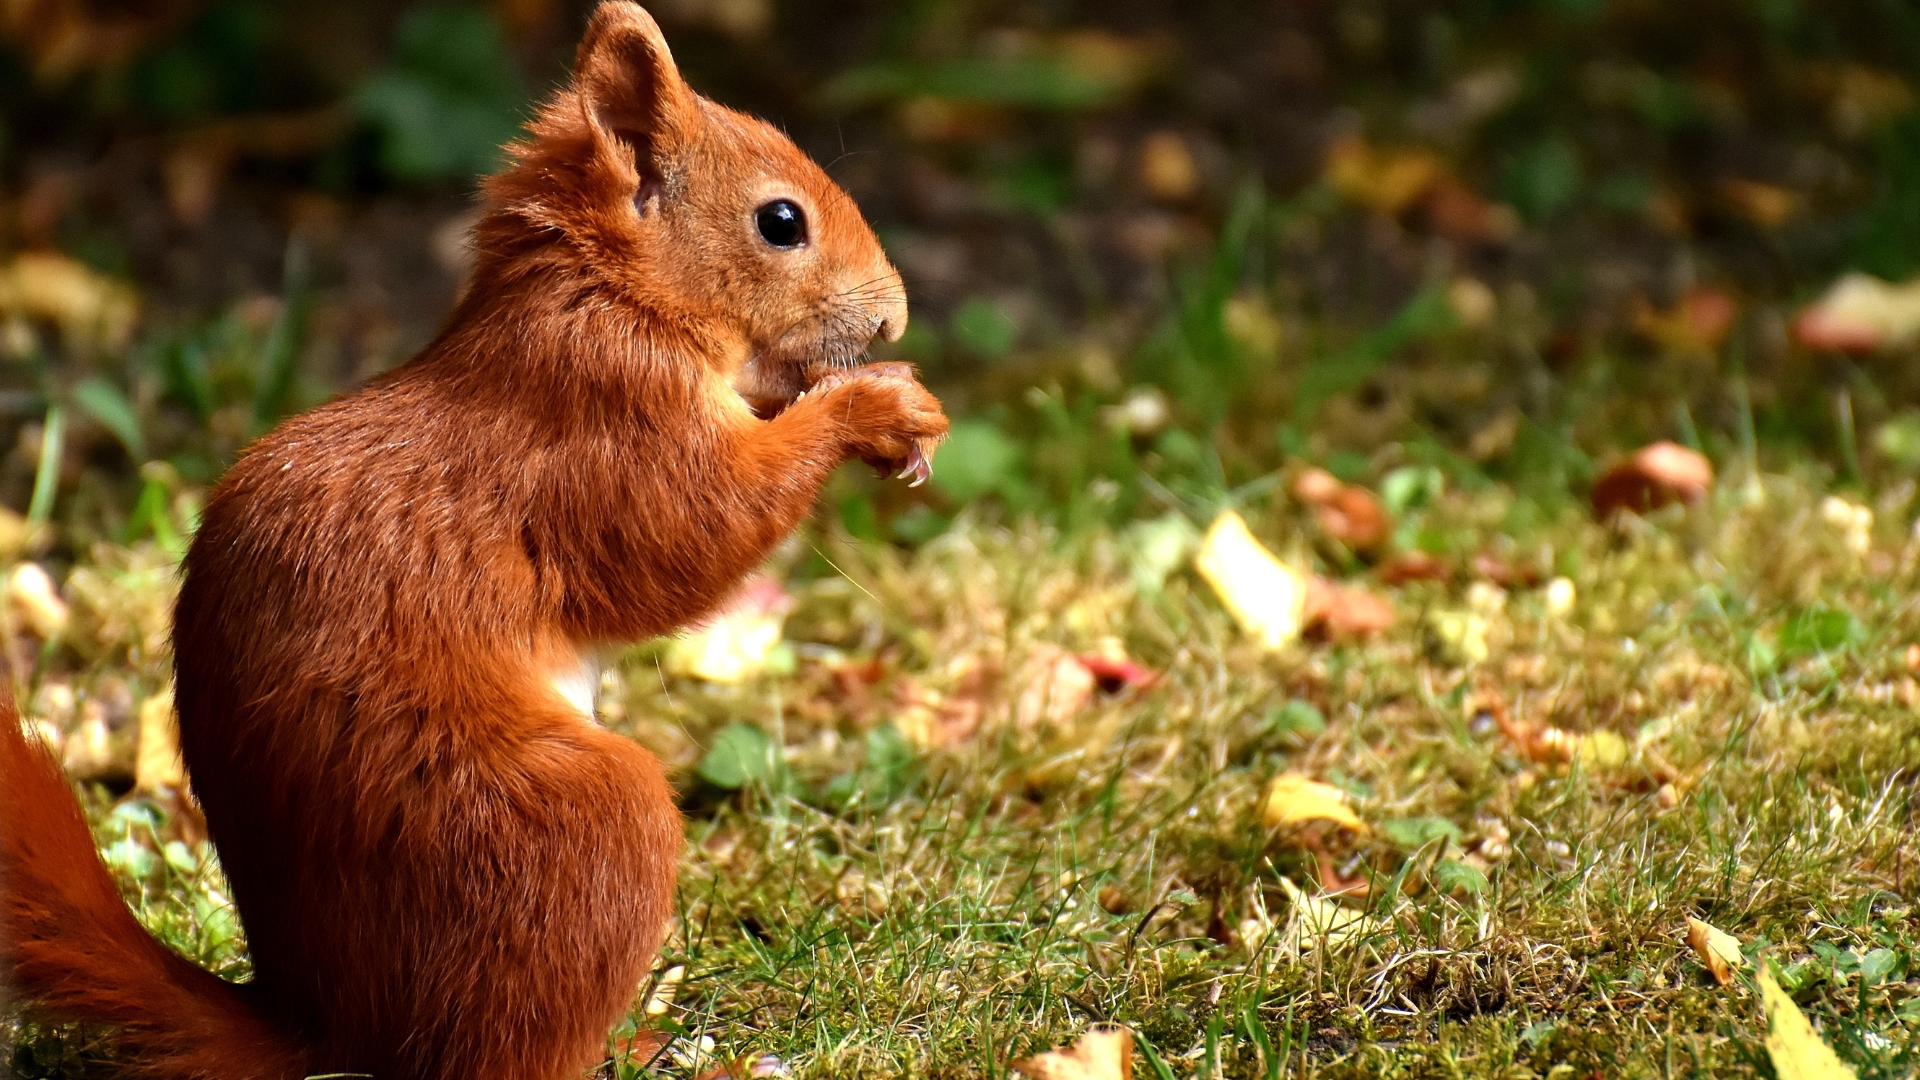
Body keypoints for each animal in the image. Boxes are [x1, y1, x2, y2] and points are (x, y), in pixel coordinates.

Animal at [0, 4, 944, 1068]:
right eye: (782, 222)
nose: (894, 317)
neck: (607, 296)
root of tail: (327, 1026)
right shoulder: (604, 429)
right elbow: (688, 535)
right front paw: (874, 408)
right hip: (559, 828)